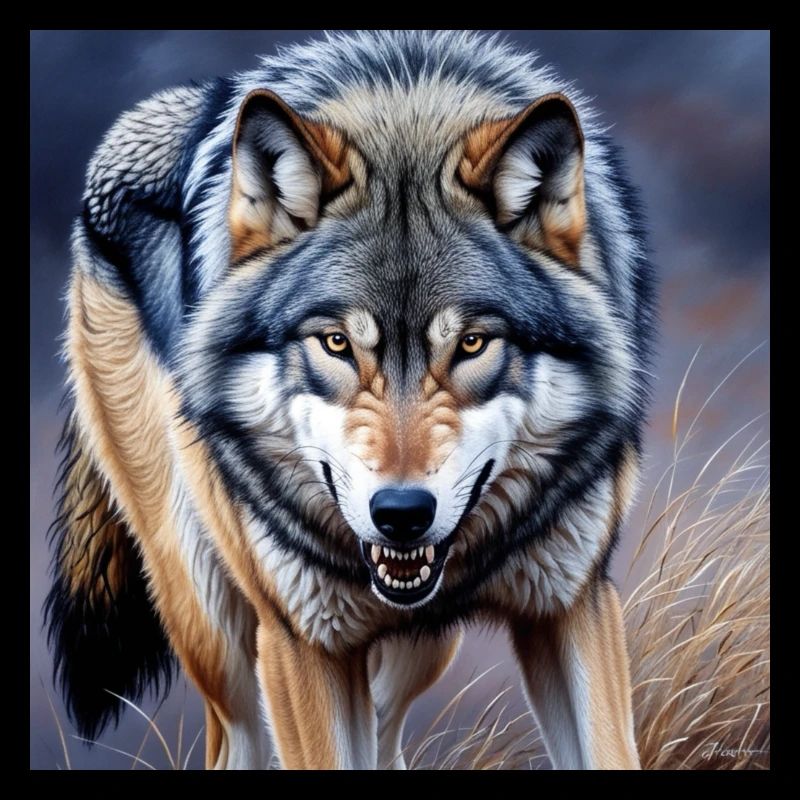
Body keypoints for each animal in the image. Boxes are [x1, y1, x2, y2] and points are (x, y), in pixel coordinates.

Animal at [45, 30, 654, 770]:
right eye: (336, 343)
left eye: (473, 344)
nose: (401, 514)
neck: (405, 119)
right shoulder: (303, 641)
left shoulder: (572, 605)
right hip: (216, 628)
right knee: (240, 737)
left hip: (421, 646)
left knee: (387, 728)